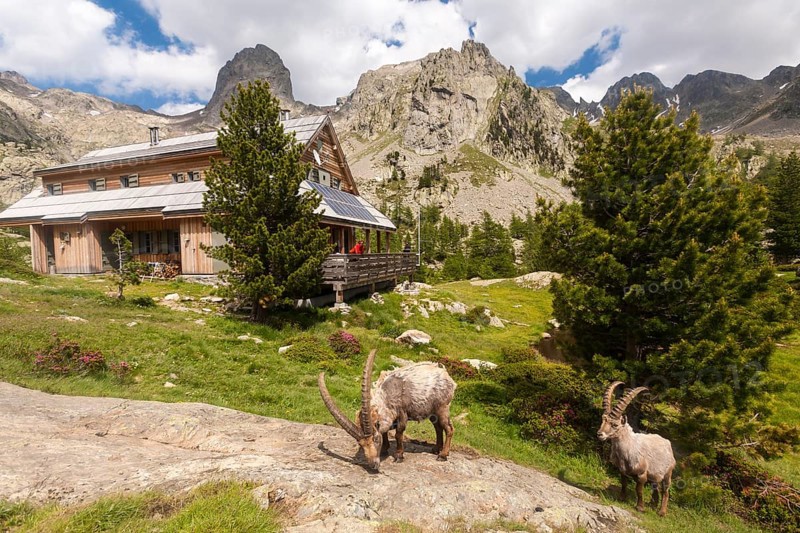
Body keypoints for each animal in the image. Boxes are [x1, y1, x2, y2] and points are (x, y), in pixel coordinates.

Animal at [318, 349, 456, 471]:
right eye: (360, 444)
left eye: (375, 439)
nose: (373, 465)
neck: (386, 396)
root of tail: (447, 376)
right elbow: (385, 432)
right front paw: (385, 449)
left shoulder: (402, 413)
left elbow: (398, 434)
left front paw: (399, 456)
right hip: (433, 412)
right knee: (438, 428)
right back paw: (436, 449)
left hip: (442, 407)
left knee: (448, 428)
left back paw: (443, 455)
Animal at [598, 382, 676, 516]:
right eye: (603, 420)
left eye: (615, 424)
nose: (600, 434)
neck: (628, 448)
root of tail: (667, 443)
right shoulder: (622, 470)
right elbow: (623, 483)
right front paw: (622, 498)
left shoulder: (641, 474)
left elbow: (639, 490)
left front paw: (640, 508)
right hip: (654, 475)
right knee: (655, 487)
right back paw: (653, 505)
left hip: (668, 473)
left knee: (665, 491)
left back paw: (661, 512)